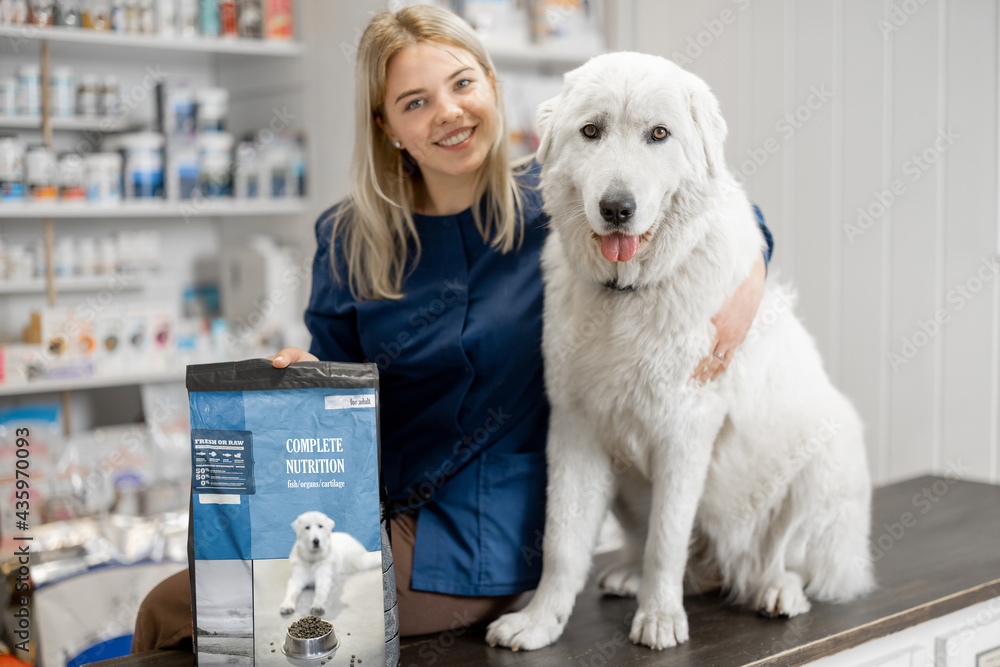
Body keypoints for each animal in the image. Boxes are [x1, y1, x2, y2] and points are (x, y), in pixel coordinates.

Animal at [486, 53, 876, 652]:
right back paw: (632, 575)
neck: (629, 295)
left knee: (784, 558)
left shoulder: (685, 432)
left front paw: (660, 619)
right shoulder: (575, 430)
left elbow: (666, 541)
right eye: (591, 131)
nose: (617, 209)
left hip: (827, 454)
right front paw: (540, 622)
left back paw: (776, 589)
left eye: (659, 134)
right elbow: (562, 543)